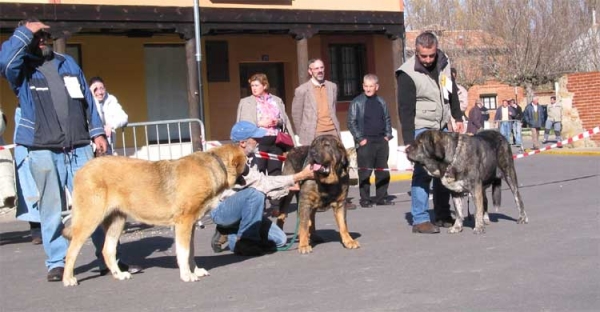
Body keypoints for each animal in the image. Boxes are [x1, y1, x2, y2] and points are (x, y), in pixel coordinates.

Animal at [61, 144, 246, 286]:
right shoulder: (184, 223)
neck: (216, 164)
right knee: (71, 251)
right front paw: (187, 275)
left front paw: (195, 271)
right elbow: (184, 252)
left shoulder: (191, 224)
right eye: (247, 161)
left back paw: (119, 274)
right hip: (89, 220)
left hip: (117, 221)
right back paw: (68, 279)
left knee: (108, 250)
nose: (251, 167)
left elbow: (190, 251)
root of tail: (81, 170)